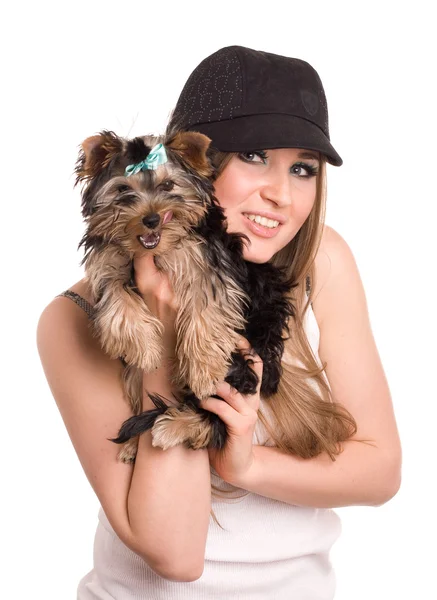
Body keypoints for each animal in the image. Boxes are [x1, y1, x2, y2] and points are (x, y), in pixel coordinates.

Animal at [76, 129, 296, 462]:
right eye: (123, 190)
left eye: (168, 186)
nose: (151, 219)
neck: (158, 249)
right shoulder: (109, 265)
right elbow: (116, 302)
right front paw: (146, 350)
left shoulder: (210, 266)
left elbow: (207, 309)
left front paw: (202, 372)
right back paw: (134, 444)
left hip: (245, 357)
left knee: (218, 408)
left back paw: (177, 425)